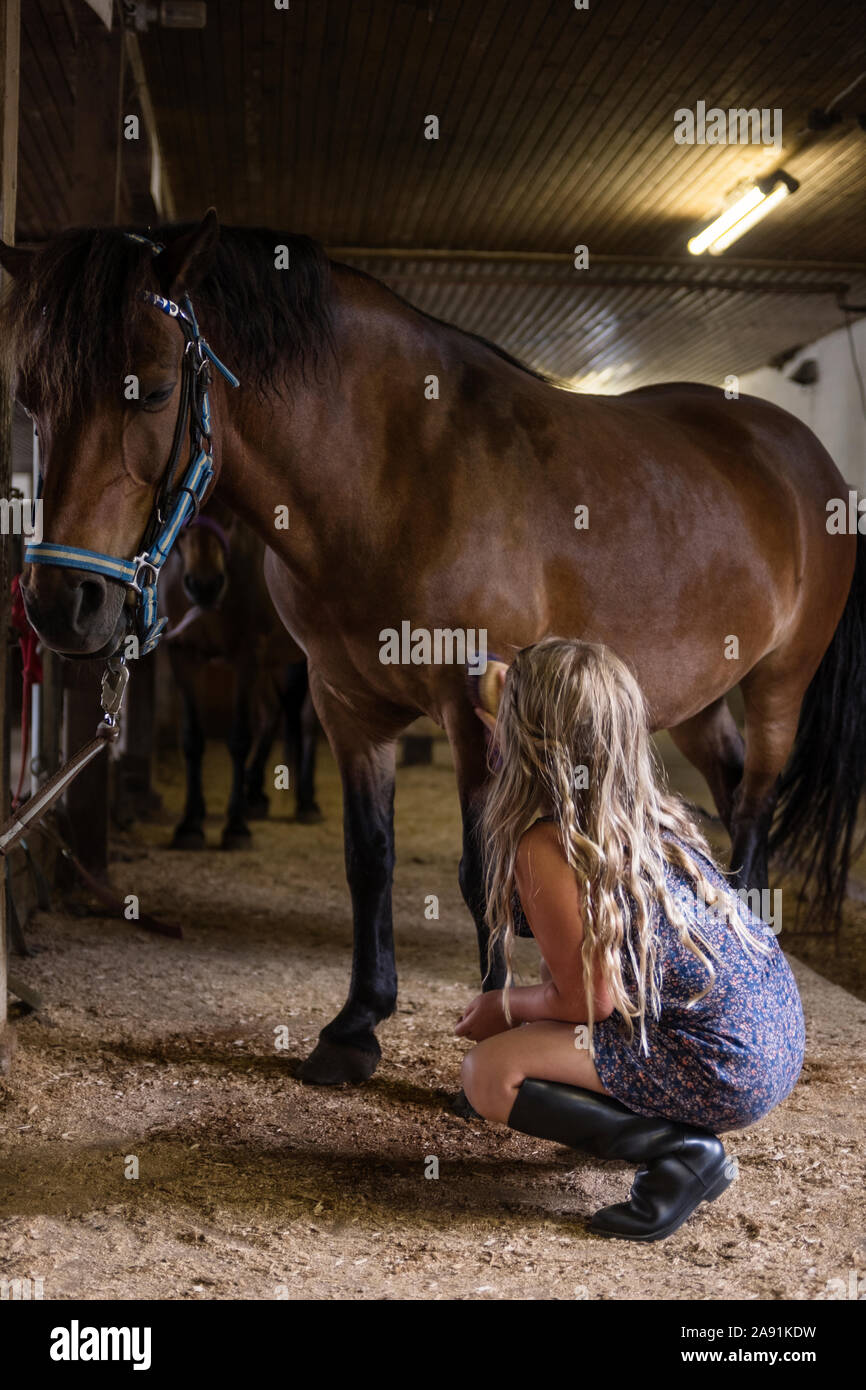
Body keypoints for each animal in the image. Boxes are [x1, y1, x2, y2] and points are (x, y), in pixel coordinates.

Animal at [159, 494, 322, 850]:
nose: (205, 585)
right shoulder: (182, 654)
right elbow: (192, 738)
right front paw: (190, 823)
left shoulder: (247, 656)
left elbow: (239, 738)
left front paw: (235, 826)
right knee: (272, 713)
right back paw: (255, 794)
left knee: (306, 721)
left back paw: (306, 802)